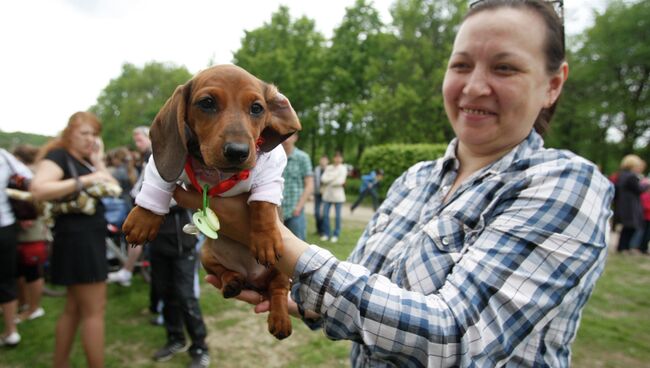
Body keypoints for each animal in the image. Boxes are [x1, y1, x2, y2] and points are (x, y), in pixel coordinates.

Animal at [123, 64, 300, 340]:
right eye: (207, 103)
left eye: (257, 108)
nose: (238, 152)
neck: (219, 173)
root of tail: (253, 279)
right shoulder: (161, 165)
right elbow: (157, 183)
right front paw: (143, 219)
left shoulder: (271, 170)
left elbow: (263, 205)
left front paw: (265, 239)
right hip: (206, 254)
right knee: (226, 272)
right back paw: (232, 282)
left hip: (282, 268)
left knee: (278, 290)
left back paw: (280, 319)